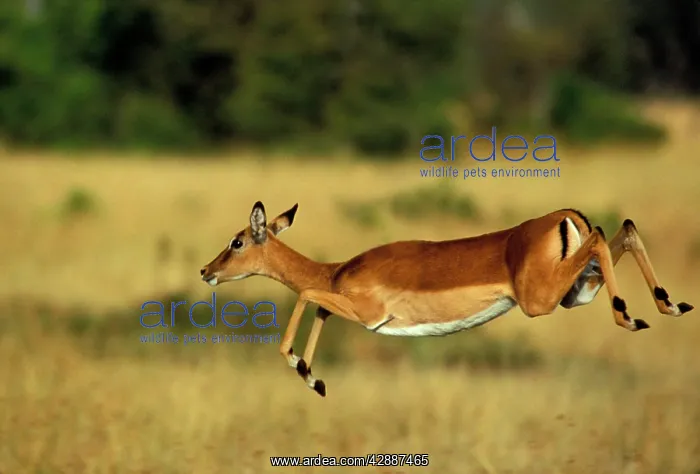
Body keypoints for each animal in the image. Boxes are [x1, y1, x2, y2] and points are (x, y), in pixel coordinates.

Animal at [200, 201, 694, 397]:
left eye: (237, 241)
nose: (207, 271)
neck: (338, 269)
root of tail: (565, 216)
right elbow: (318, 305)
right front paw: (314, 378)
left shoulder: (367, 313)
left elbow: (307, 295)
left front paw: (301, 368)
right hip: (577, 293)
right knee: (623, 228)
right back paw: (670, 305)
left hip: (542, 299)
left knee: (601, 236)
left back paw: (631, 316)